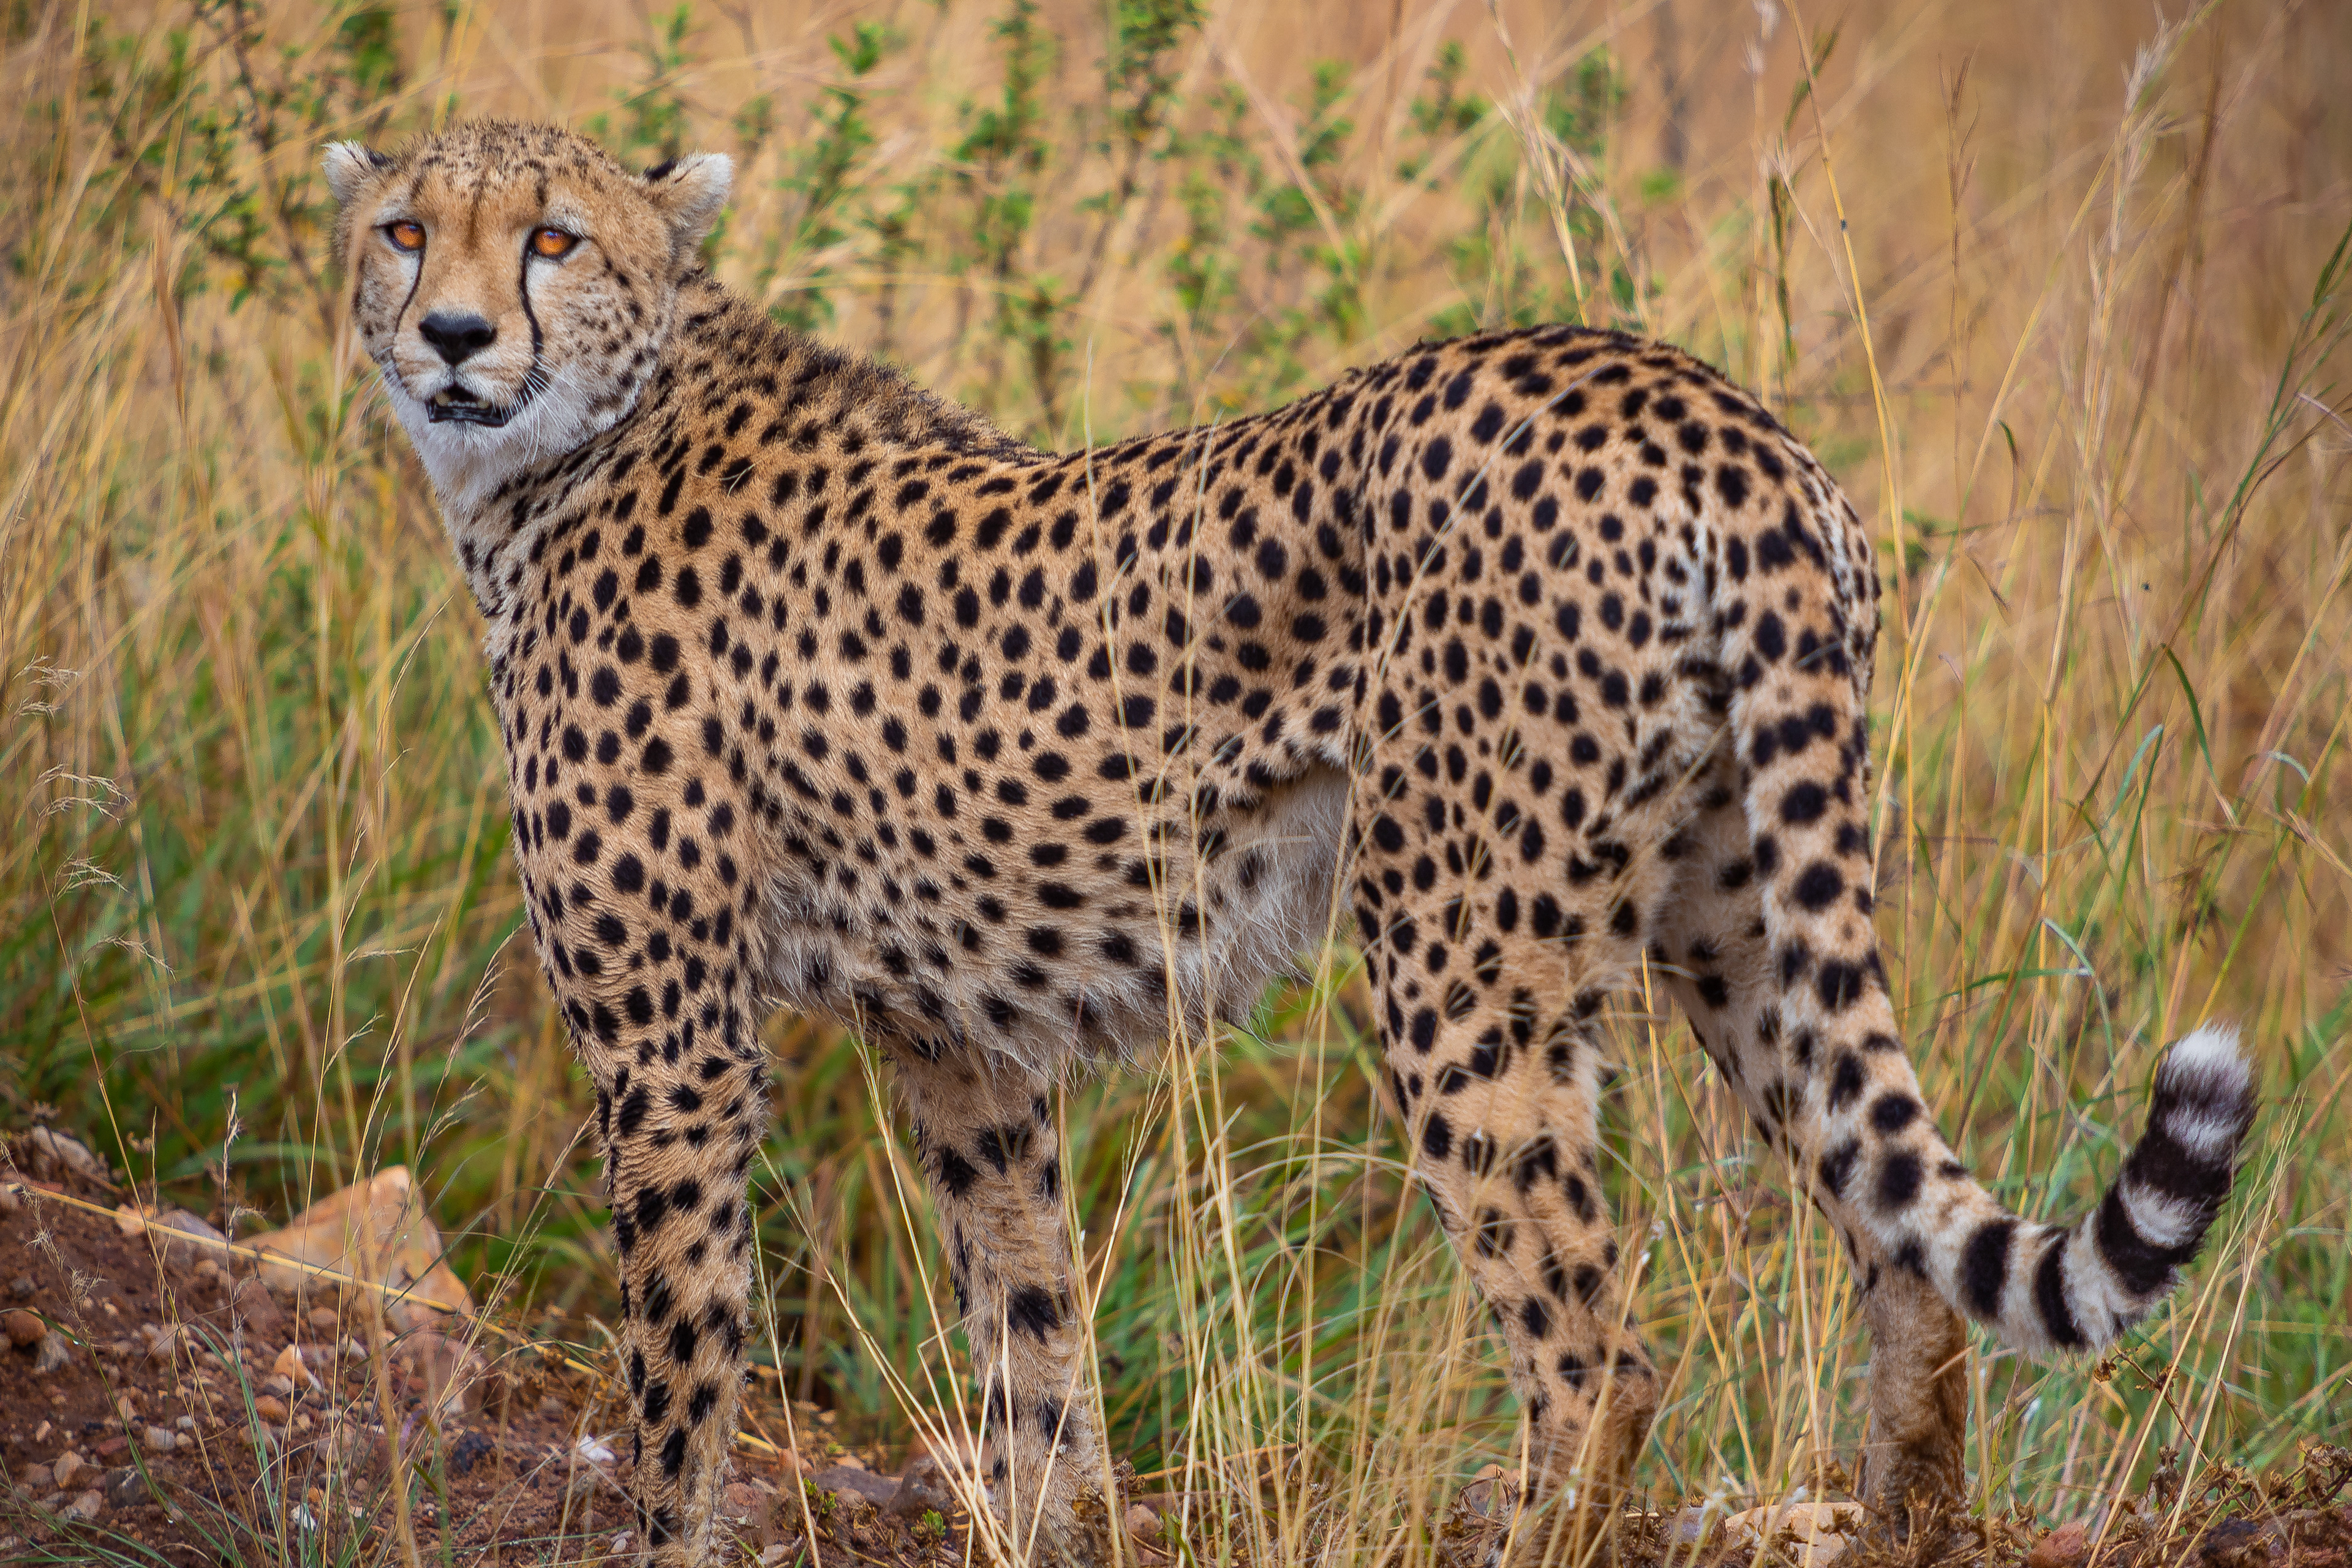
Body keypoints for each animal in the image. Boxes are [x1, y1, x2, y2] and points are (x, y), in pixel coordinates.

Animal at [326, 126, 2258, 1568]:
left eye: (555, 240)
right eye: (407, 231)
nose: (453, 338)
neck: (577, 445)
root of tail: (1686, 392)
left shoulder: (667, 1045)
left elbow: (679, 1349)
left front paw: (668, 1530)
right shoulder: (962, 1045)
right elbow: (1031, 1343)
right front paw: (1055, 1523)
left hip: (1461, 957)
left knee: (1601, 1353)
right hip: (1740, 908)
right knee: (1901, 1260)